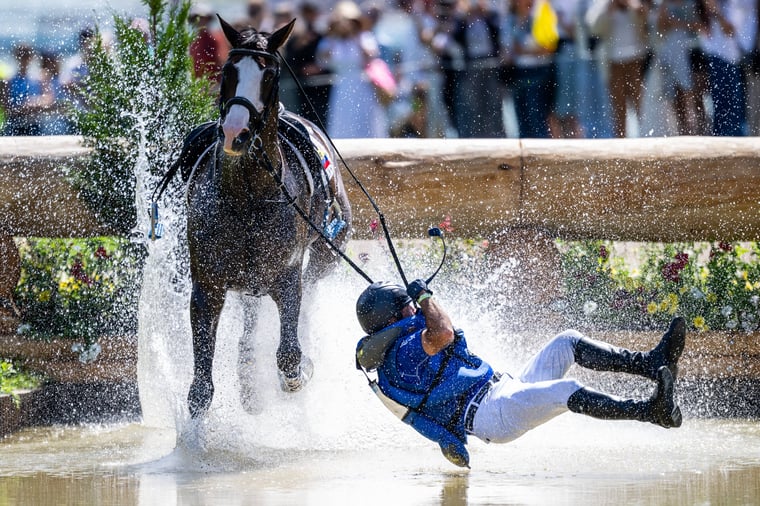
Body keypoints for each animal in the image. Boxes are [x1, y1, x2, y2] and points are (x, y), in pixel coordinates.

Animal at [179, 17, 354, 418]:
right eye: (228, 71)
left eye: (270, 75)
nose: (235, 132)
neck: (247, 197)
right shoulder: (207, 286)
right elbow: (200, 388)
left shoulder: (287, 278)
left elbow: (289, 356)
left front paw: (300, 370)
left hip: (328, 252)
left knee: (311, 290)